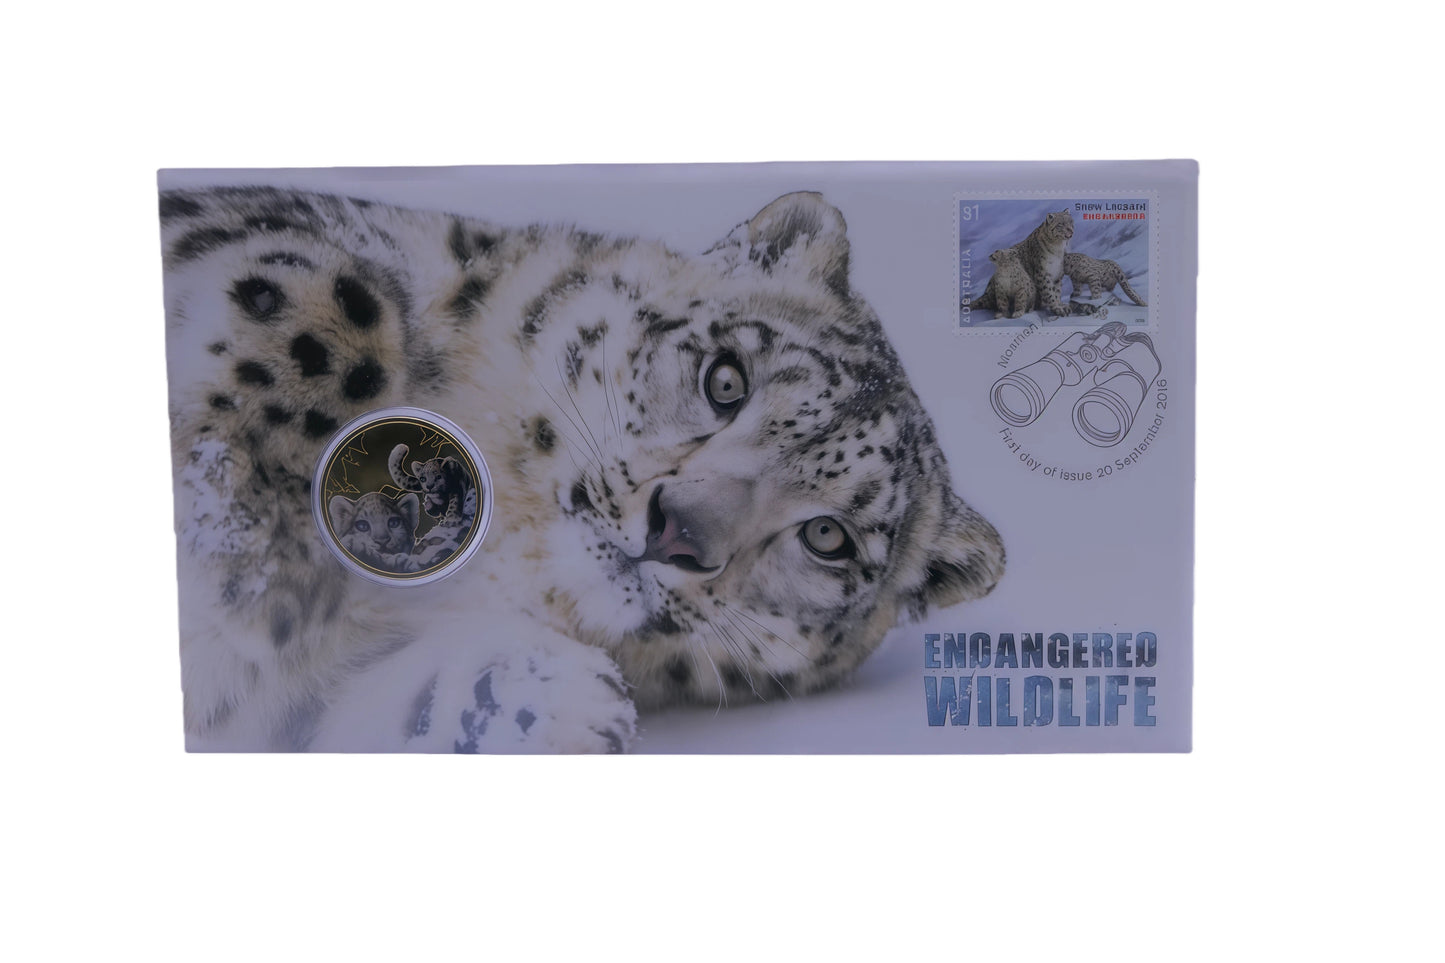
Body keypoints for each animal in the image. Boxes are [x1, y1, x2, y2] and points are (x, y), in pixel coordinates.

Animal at [160, 186, 1006, 752]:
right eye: (725, 380)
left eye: (828, 537)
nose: (676, 531)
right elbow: (328, 301)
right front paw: (250, 553)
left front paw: (548, 698)